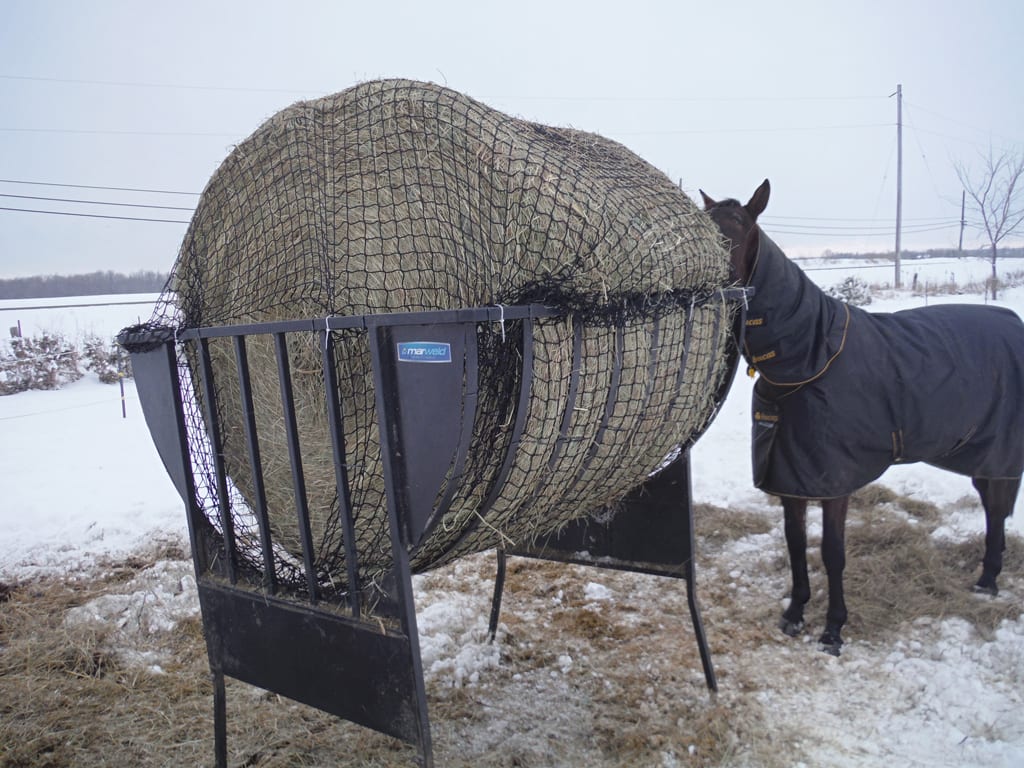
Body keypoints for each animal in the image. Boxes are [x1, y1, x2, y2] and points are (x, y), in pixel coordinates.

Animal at [700, 179, 1019, 655]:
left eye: (737, 224)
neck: (811, 357)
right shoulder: (791, 477)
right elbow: (796, 543)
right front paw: (795, 613)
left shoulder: (835, 483)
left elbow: (832, 552)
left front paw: (833, 629)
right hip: (979, 451)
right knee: (991, 505)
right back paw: (986, 577)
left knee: (997, 507)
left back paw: (990, 580)